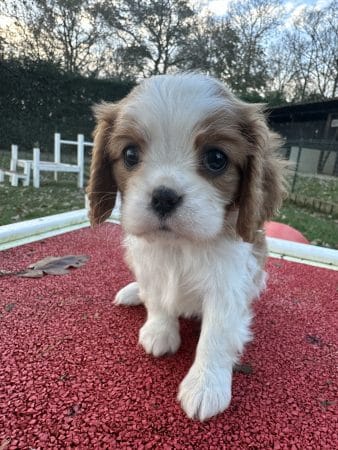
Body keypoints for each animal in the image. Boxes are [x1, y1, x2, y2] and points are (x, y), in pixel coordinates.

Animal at [88, 73, 286, 422]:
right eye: (130, 154)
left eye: (216, 158)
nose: (164, 196)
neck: (179, 246)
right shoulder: (150, 266)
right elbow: (157, 300)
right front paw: (159, 331)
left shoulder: (228, 286)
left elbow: (216, 336)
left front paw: (206, 385)